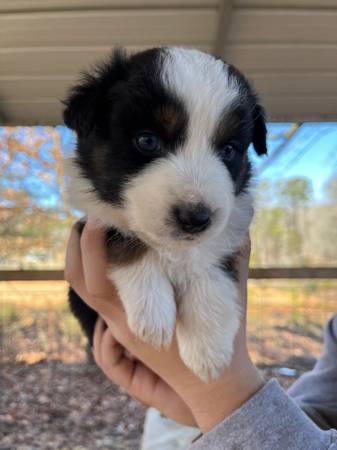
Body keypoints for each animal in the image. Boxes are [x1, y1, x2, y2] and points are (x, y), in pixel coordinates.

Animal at [63, 47, 266, 382]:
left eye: (229, 149)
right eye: (147, 140)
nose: (196, 218)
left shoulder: (229, 233)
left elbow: (209, 269)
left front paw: (208, 350)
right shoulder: (96, 220)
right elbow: (131, 242)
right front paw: (152, 316)